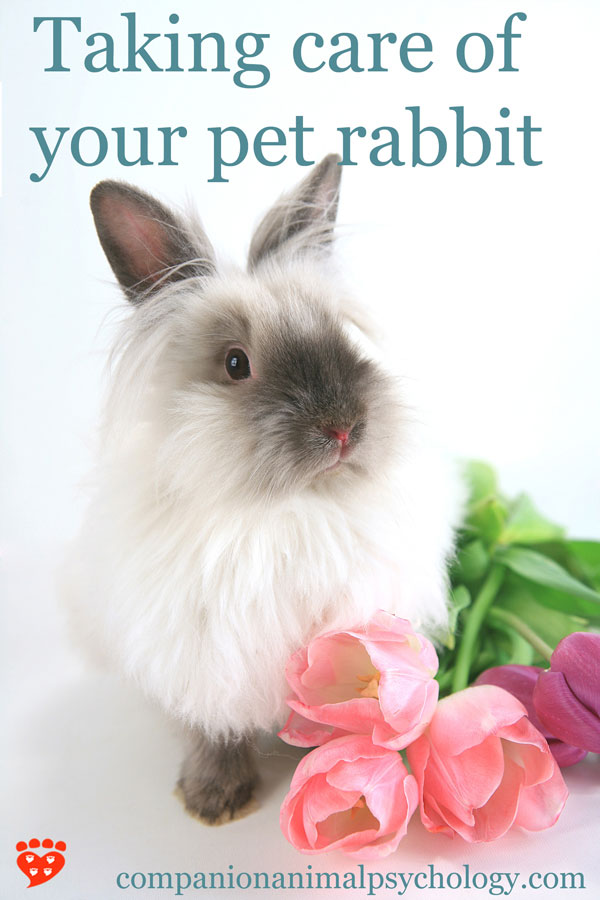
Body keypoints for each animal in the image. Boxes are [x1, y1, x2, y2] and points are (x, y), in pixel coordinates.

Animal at [67, 154, 460, 824]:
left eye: (343, 338)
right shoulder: (205, 660)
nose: (343, 428)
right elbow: (212, 730)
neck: (292, 507)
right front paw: (213, 801)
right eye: (235, 364)